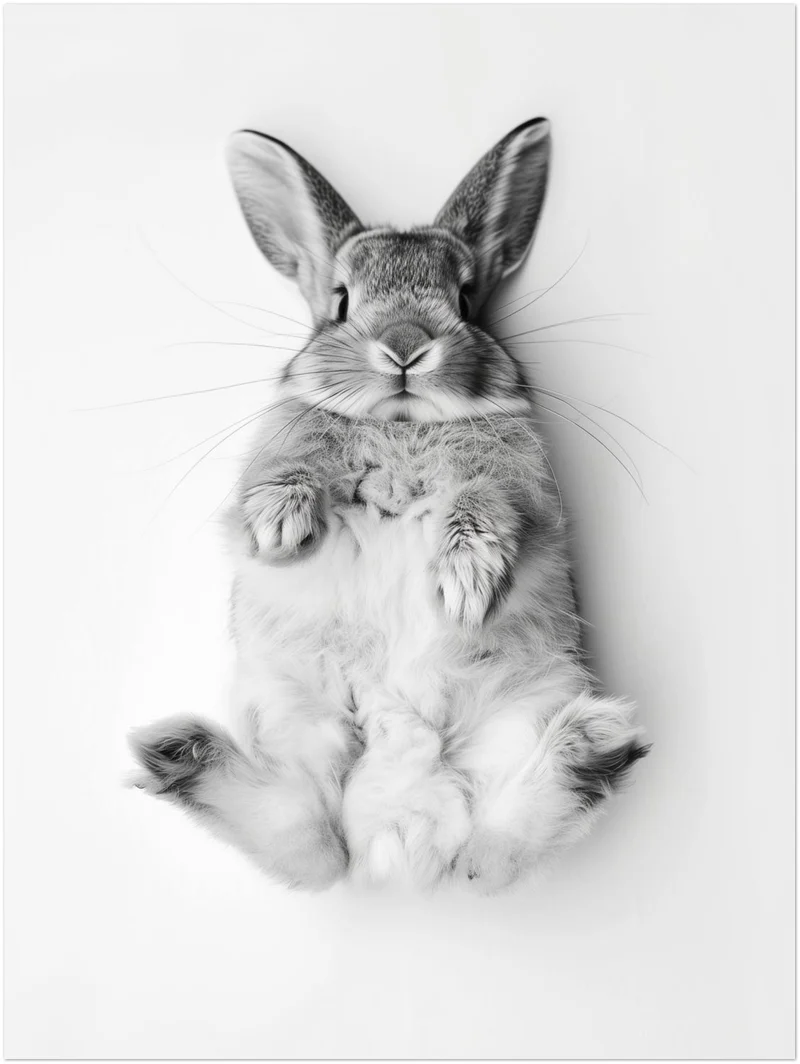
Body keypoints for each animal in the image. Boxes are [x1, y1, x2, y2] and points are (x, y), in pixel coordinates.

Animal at [129, 119, 649, 894]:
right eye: (341, 300)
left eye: (466, 299)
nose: (405, 346)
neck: (403, 425)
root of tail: (398, 831)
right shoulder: (277, 450)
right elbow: (284, 475)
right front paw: (279, 528)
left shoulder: (520, 486)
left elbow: (487, 506)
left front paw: (464, 583)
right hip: (293, 714)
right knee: (308, 842)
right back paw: (175, 750)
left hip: (520, 710)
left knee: (491, 848)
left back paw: (592, 743)